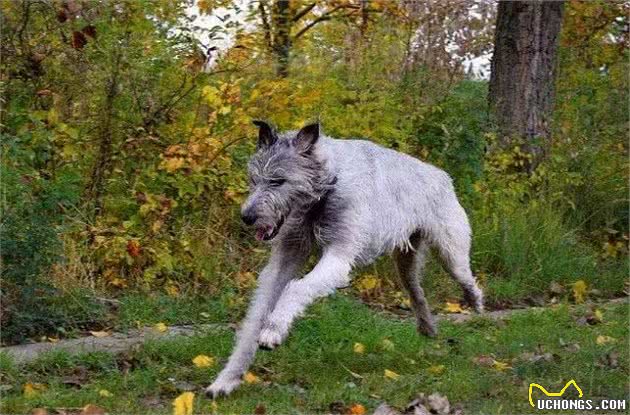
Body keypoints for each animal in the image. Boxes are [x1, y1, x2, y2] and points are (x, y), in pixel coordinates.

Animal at [205, 122, 486, 398]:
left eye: (278, 180)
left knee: (466, 278)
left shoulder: (338, 257)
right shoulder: (286, 257)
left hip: (451, 253)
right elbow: (256, 316)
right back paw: (427, 326)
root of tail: (441, 174)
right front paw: (226, 379)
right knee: (416, 291)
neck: (327, 186)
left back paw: (475, 302)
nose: (247, 217)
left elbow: (297, 288)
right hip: (405, 264)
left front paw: (274, 328)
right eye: (253, 180)